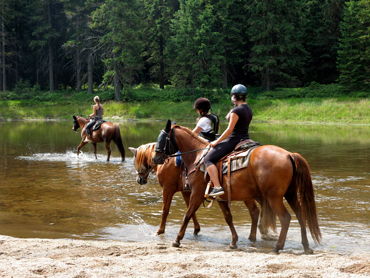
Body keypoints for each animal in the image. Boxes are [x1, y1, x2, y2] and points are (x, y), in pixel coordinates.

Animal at [129, 142, 272, 240]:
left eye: (135, 161)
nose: (139, 179)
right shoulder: (187, 191)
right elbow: (190, 211)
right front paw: (196, 229)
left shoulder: (168, 189)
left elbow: (165, 210)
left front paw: (160, 231)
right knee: (257, 210)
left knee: (256, 211)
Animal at [152, 120, 320, 254]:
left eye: (161, 139)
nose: (155, 158)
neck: (197, 157)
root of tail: (288, 154)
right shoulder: (220, 198)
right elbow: (228, 218)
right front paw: (234, 242)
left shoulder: (196, 194)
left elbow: (187, 215)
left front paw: (177, 240)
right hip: (290, 194)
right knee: (300, 215)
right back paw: (306, 246)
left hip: (274, 197)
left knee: (285, 218)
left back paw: (277, 247)